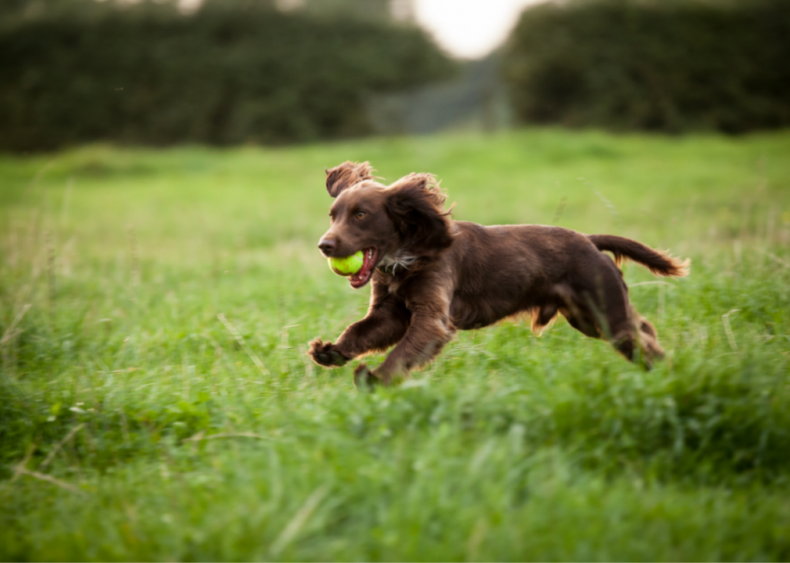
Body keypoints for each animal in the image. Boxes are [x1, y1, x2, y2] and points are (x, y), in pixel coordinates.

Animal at [310, 161, 688, 386]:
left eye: (361, 215)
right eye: (333, 215)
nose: (324, 245)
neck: (409, 255)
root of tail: (589, 241)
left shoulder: (432, 318)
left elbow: (402, 353)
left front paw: (374, 379)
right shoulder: (390, 313)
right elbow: (359, 331)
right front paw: (331, 351)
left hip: (605, 313)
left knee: (641, 338)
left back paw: (670, 374)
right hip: (588, 318)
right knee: (643, 328)